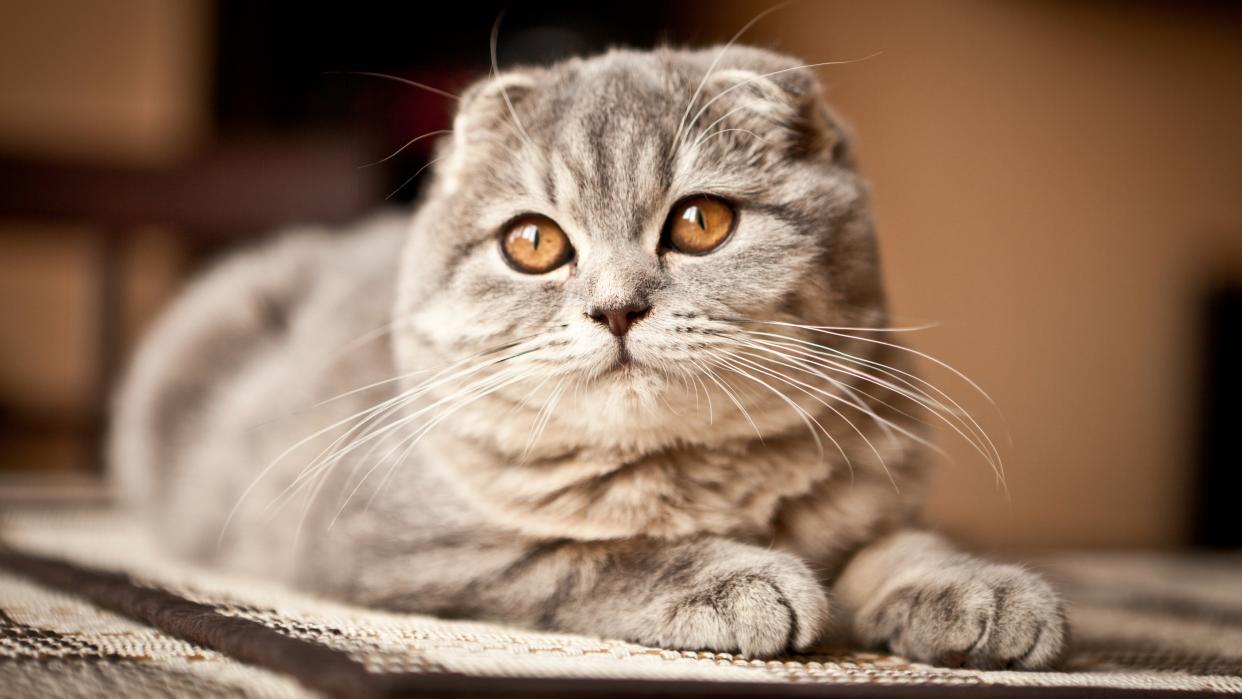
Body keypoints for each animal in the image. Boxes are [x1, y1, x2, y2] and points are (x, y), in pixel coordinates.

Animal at [111, 46, 1068, 670]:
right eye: (533, 241)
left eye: (701, 222)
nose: (616, 307)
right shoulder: (398, 545)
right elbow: (585, 554)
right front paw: (736, 580)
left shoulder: (871, 497)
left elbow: (899, 546)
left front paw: (983, 593)